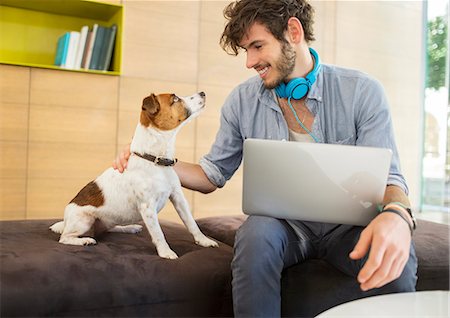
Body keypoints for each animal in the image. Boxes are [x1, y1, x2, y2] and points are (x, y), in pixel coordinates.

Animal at [49, 91, 218, 258]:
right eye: (175, 99)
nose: (203, 92)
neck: (155, 161)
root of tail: (66, 220)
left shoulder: (178, 197)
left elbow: (191, 223)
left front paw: (204, 240)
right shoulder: (147, 207)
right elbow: (158, 234)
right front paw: (166, 252)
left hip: (106, 221)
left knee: (109, 229)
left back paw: (129, 227)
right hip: (84, 220)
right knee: (65, 238)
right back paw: (84, 240)